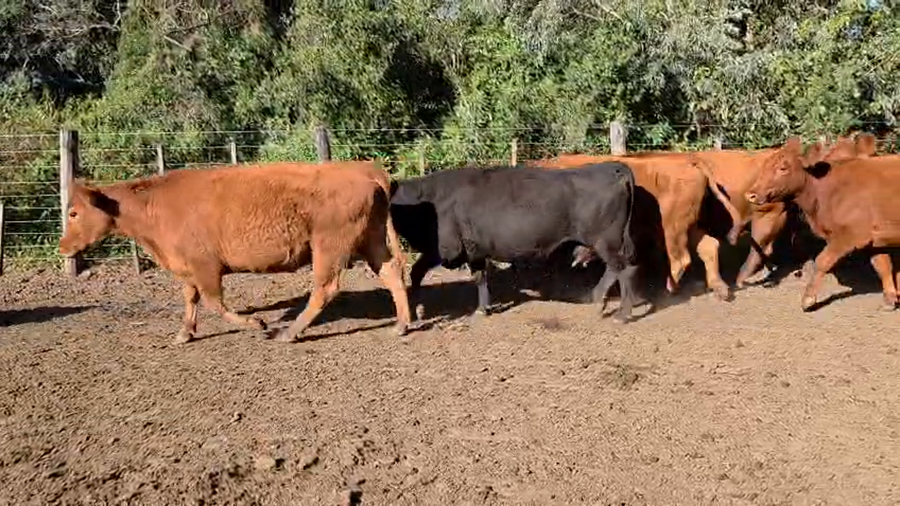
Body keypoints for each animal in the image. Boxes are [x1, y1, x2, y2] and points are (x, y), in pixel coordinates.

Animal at [58, 161, 412, 344]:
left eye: (73, 212)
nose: (62, 247)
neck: (156, 206)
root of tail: (365, 170)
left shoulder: (205, 266)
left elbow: (214, 302)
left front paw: (257, 324)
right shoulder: (188, 267)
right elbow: (191, 298)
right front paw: (184, 333)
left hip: (329, 246)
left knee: (325, 288)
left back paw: (290, 332)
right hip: (371, 240)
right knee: (391, 272)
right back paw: (401, 324)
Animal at [389, 162, 642, 323]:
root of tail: (612, 167)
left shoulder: (445, 249)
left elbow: (416, 272)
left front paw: (417, 310)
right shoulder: (474, 250)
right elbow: (480, 277)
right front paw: (483, 308)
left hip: (605, 241)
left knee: (623, 269)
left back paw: (621, 314)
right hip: (607, 242)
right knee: (617, 269)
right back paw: (598, 300)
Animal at [745, 137, 900, 312]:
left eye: (783, 168)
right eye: (764, 166)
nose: (751, 194)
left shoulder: (850, 236)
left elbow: (822, 261)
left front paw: (808, 299)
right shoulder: (875, 240)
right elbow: (883, 265)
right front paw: (889, 300)